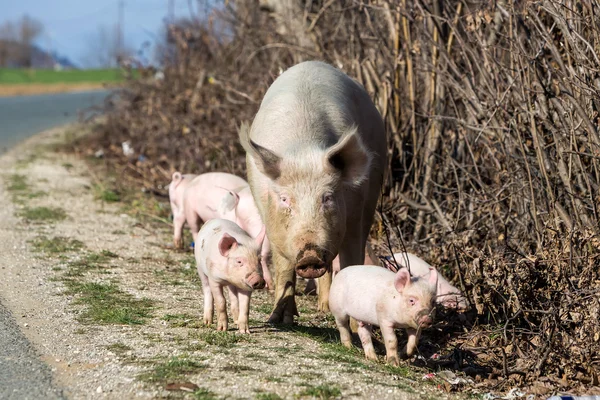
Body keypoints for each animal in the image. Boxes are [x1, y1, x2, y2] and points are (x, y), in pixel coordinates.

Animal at [237, 60, 386, 322]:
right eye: (285, 199)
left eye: (327, 197)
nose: (310, 255)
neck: (304, 150)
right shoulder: (273, 221)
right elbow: (285, 267)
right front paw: (280, 320)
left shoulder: (355, 212)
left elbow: (350, 261)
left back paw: (325, 308)